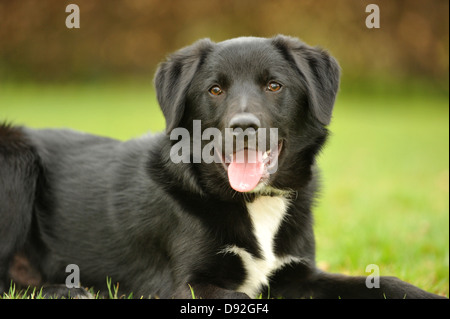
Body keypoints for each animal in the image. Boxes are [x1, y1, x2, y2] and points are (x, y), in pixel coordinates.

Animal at [0, 35, 444, 300]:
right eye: (214, 89)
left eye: (274, 85)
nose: (243, 127)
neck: (254, 203)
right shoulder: (188, 286)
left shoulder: (296, 274)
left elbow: (385, 281)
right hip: (17, 158)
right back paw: (68, 291)